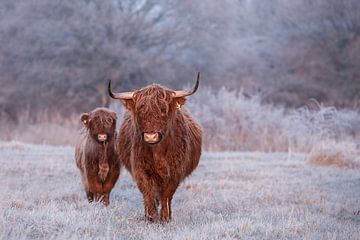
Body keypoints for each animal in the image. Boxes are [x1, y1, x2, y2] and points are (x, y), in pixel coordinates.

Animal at [107, 72, 202, 222]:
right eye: (140, 110)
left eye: (163, 110)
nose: (151, 136)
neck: (157, 152)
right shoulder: (141, 170)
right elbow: (148, 193)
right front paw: (151, 218)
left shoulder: (174, 172)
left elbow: (166, 195)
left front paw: (165, 218)